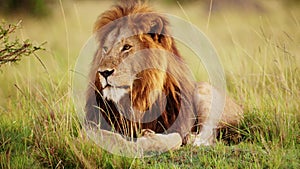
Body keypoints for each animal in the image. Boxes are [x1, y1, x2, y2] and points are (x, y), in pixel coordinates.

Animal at [84, 0, 241, 153]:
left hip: (204, 90)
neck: (138, 97)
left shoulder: (178, 124)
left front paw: (145, 139)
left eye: (127, 47)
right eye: (105, 49)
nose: (103, 72)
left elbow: (175, 139)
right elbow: (103, 135)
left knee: (208, 136)